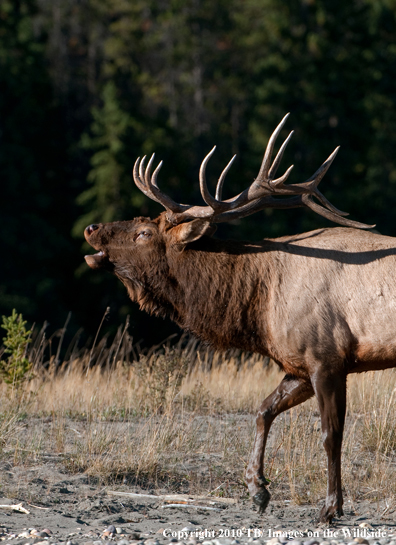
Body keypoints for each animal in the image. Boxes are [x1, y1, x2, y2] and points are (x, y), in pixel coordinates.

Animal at [83, 111, 392, 524]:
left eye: (144, 232)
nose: (92, 228)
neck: (259, 307)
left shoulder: (326, 358)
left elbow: (331, 435)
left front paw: (330, 507)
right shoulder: (297, 363)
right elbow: (262, 410)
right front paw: (257, 489)